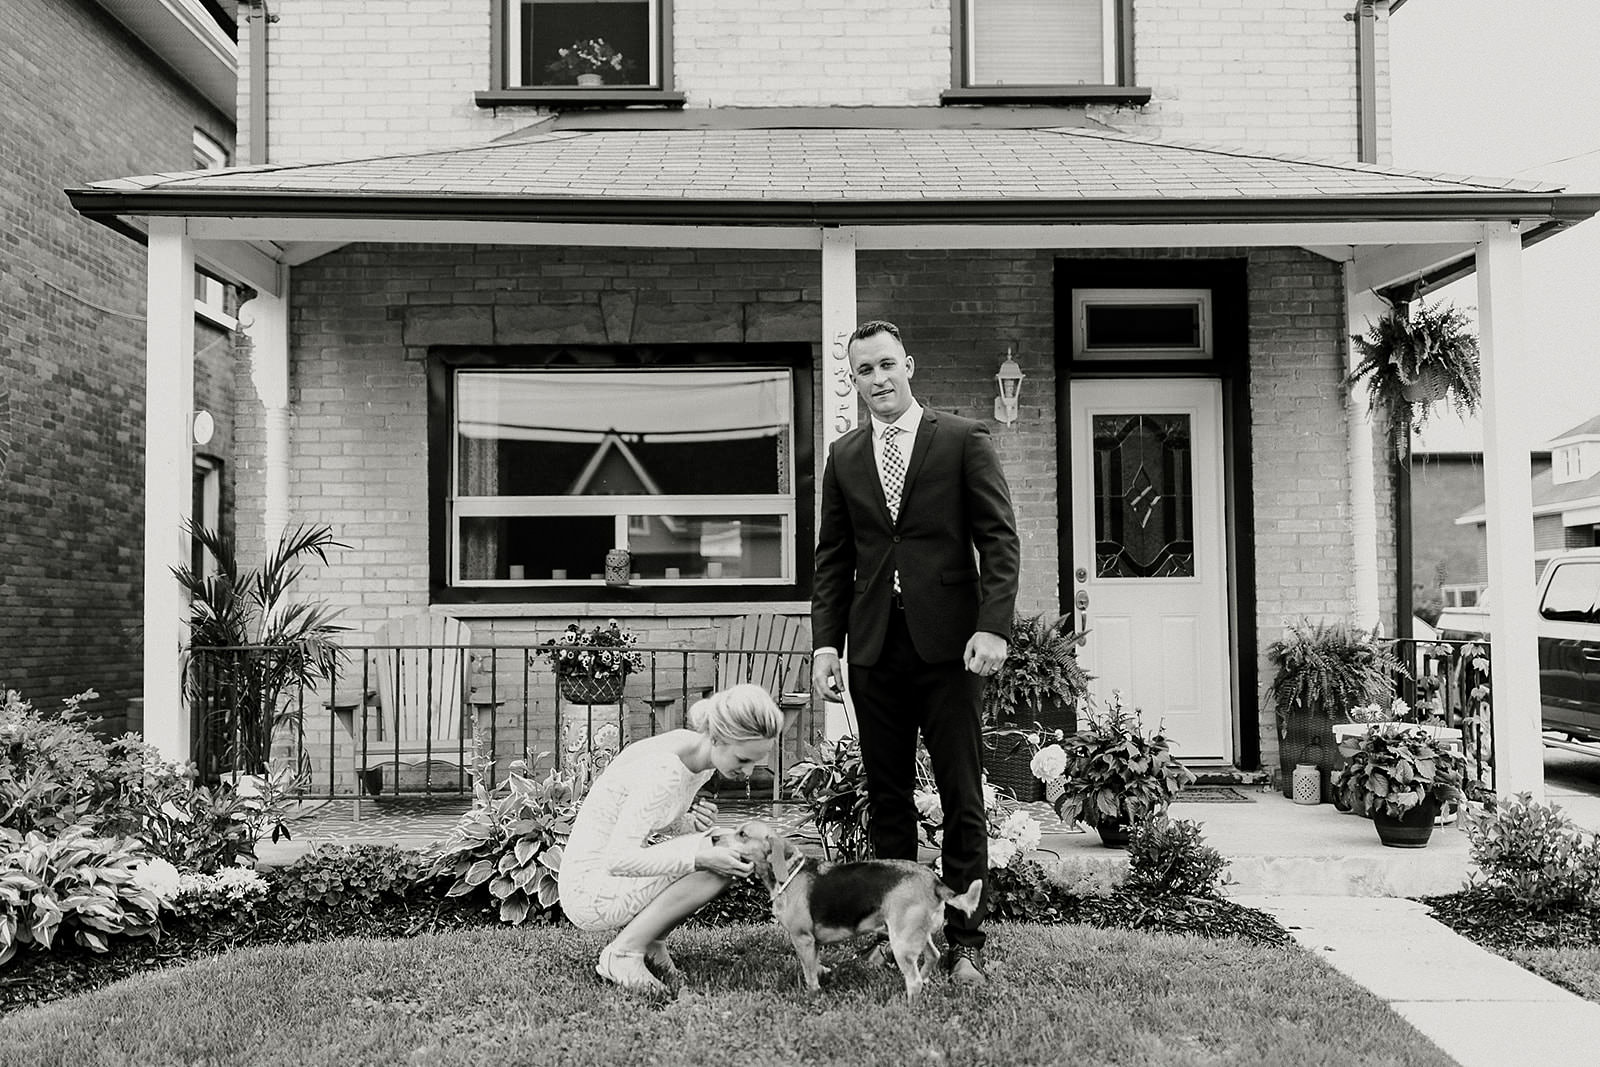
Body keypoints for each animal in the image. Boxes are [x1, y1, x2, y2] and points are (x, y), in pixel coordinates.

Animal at [732, 825, 979, 998]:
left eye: (742, 834)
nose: (720, 838)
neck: (789, 872)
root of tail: (934, 881)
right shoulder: (813, 943)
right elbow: (815, 965)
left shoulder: (802, 939)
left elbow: (809, 973)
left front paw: (811, 996)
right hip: (914, 933)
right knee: (933, 956)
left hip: (902, 941)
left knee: (914, 980)